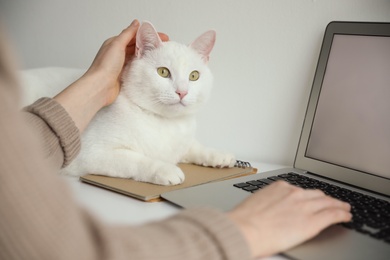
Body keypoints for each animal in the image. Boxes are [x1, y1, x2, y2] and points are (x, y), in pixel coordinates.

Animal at [61, 21, 235, 185]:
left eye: (194, 76)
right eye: (163, 72)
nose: (182, 92)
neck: (166, 122)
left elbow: (194, 147)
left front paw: (217, 154)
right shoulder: (91, 154)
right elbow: (136, 160)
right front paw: (165, 169)